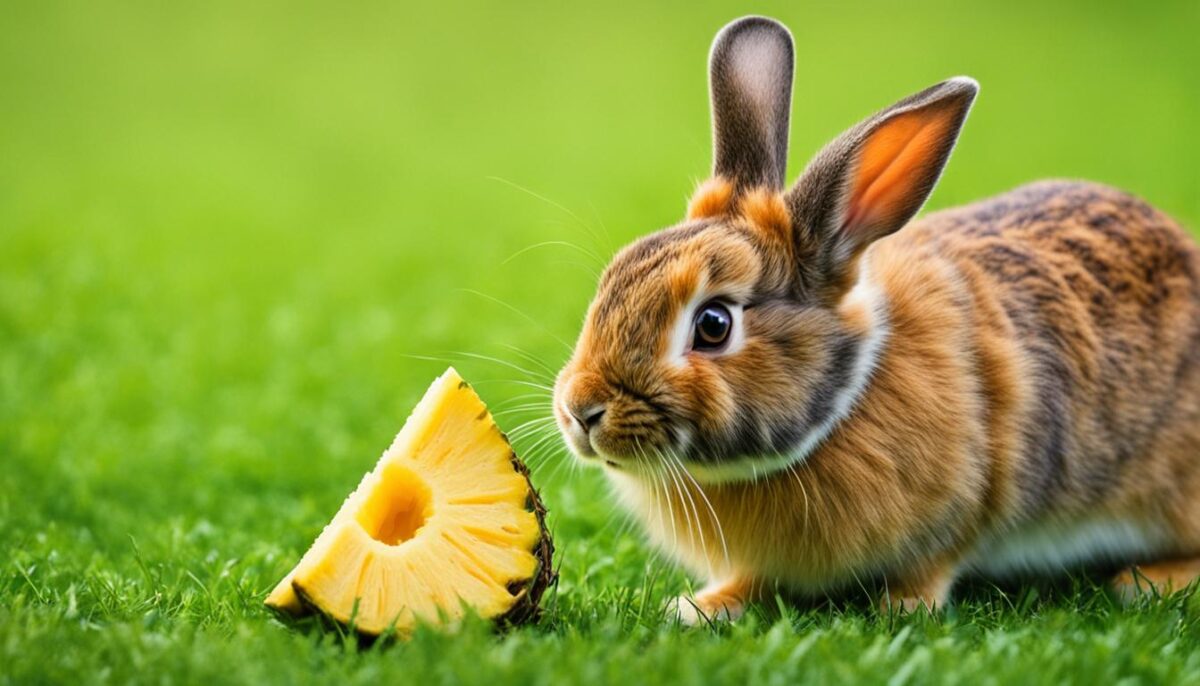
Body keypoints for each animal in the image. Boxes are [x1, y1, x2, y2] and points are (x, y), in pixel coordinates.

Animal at [552, 15, 1200, 623]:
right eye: (613, 277)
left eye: (713, 324)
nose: (580, 411)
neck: (846, 402)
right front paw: (699, 608)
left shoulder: (963, 506)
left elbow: (934, 565)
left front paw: (902, 608)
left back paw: (1148, 581)